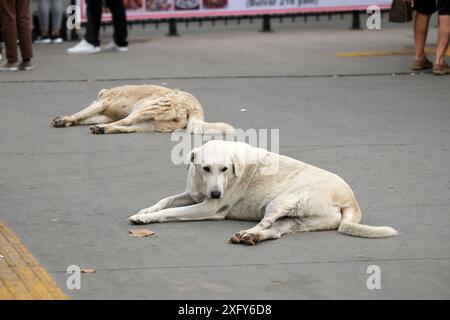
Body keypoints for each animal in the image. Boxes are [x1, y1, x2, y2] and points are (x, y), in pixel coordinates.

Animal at [52, 84, 234, 134]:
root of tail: (195, 107)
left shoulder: (102, 103)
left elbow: (80, 114)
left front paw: (65, 120)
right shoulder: (103, 113)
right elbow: (84, 117)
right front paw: (66, 122)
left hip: (143, 108)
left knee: (125, 122)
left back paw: (102, 128)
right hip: (150, 124)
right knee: (127, 128)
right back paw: (103, 129)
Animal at [129, 141, 398, 245]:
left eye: (224, 169)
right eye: (205, 168)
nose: (216, 194)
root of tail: (350, 199)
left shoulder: (208, 208)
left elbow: (169, 211)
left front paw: (148, 218)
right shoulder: (193, 194)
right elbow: (166, 200)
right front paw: (144, 211)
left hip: (281, 201)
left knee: (265, 223)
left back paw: (247, 234)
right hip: (299, 220)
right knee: (276, 231)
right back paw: (253, 238)